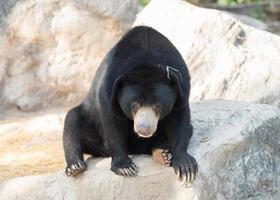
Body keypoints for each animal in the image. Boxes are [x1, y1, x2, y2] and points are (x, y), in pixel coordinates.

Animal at [63, 25, 199, 184]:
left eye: (157, 106)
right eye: (135, 105)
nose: (143, 130)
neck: (146, 61)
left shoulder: (181, 85)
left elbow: (179, 118)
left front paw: (185, 167)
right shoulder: (110, 83)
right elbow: (112, 120)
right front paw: (125, 167)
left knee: (189, 129)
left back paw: (162, 153)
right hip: (92, 125)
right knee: (72, 122)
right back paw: (75, 166)